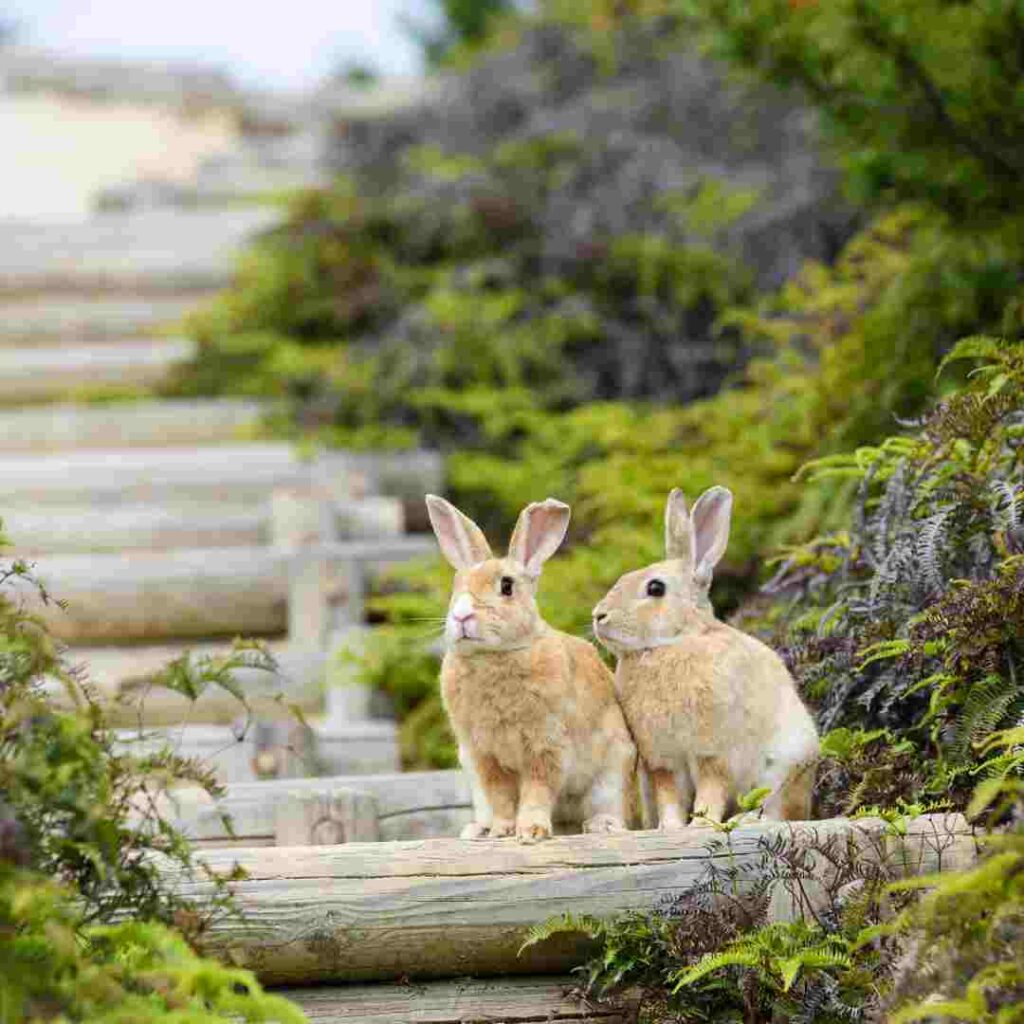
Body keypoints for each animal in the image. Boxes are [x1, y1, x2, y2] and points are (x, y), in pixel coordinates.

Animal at [421, 493, 630, 839]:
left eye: (507, 586)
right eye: (456, 586)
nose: (461, 615)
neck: (494, 655)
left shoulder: (545, 746)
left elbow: (537, 790)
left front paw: (531, 831)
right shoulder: (484, 756)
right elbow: (501, 796)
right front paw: (502, 830)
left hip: (611, 774)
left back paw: (602, 824)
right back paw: (477, 829)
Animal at [593, 483, 815, 827]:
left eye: (655, 588)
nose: (598, 616)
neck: (671, 644)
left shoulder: (712, 754)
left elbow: (711, 792)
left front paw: (699, 825)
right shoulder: (662, 761)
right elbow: (669, 797)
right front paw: (669, 828)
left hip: (785, 765)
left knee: (778, 810)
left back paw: (750, 821)